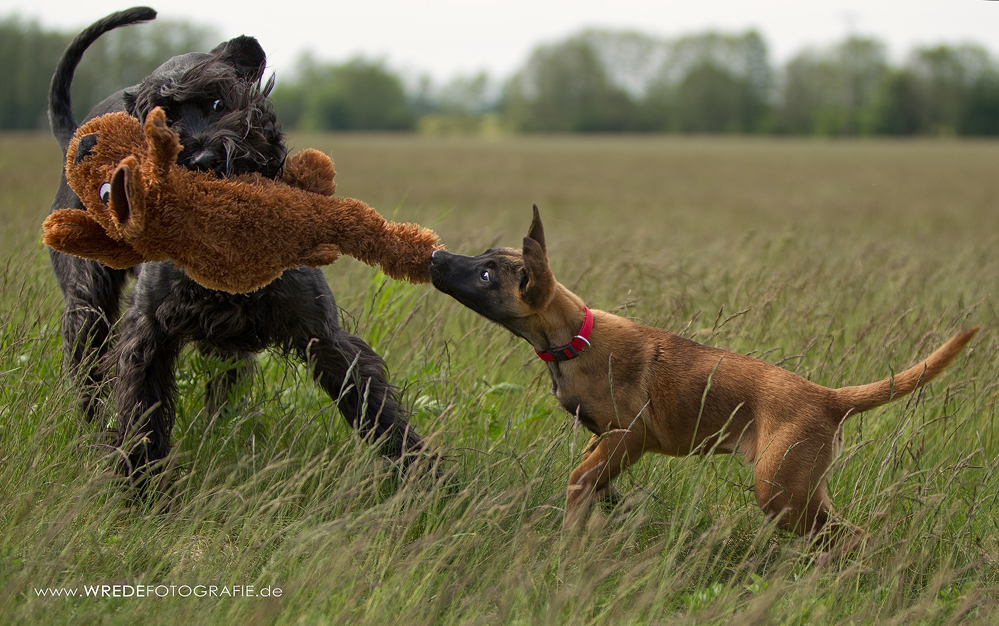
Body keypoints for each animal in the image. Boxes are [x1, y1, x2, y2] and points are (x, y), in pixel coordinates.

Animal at [48, 6, 424, 478]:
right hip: (88, 304)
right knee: (87, 375)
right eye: (161, 117)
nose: (203, 158)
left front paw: (427, 478)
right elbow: (141, 414)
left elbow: (375, 408)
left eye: (217, 102)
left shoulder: (322, 333)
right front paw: (141, 484)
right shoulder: (147, 334)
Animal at [428, 207, 976, 540]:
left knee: (847, 540)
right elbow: (594, 478)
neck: (573, 337)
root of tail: (827, 396)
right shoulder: (605, 439)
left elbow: (580, 479)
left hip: (781, 492)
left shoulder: (628, 435)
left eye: (486, 275)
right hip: (801, 491)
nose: (434, 256)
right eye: (483, 257)